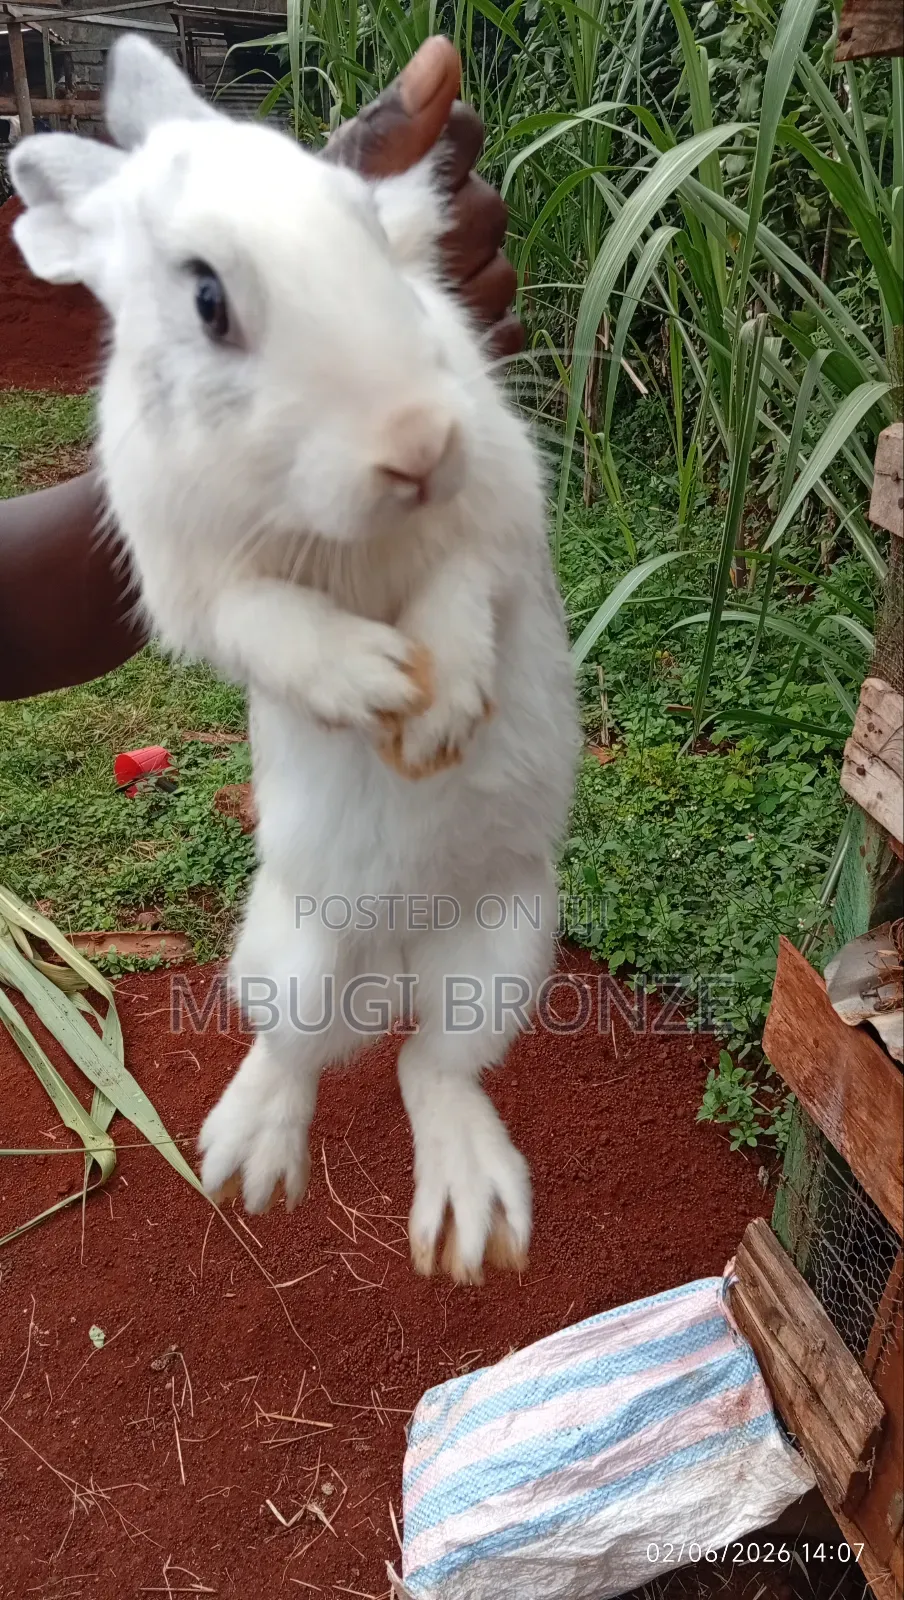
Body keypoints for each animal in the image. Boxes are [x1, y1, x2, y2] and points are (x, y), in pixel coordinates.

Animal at [10, 36, 580, 1284]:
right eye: (207, 299)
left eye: (367, 228)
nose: (418, 443)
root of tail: (393, 960)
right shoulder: (191, 577)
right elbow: (265, 620)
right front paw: (373, 680)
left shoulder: (495, 509)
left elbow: (465, 584)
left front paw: (439, 709)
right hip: (285, 951)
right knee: (301, 1049)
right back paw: (247, 1158)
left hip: (507, 946)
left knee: (432, 1064)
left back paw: (468, 1216)